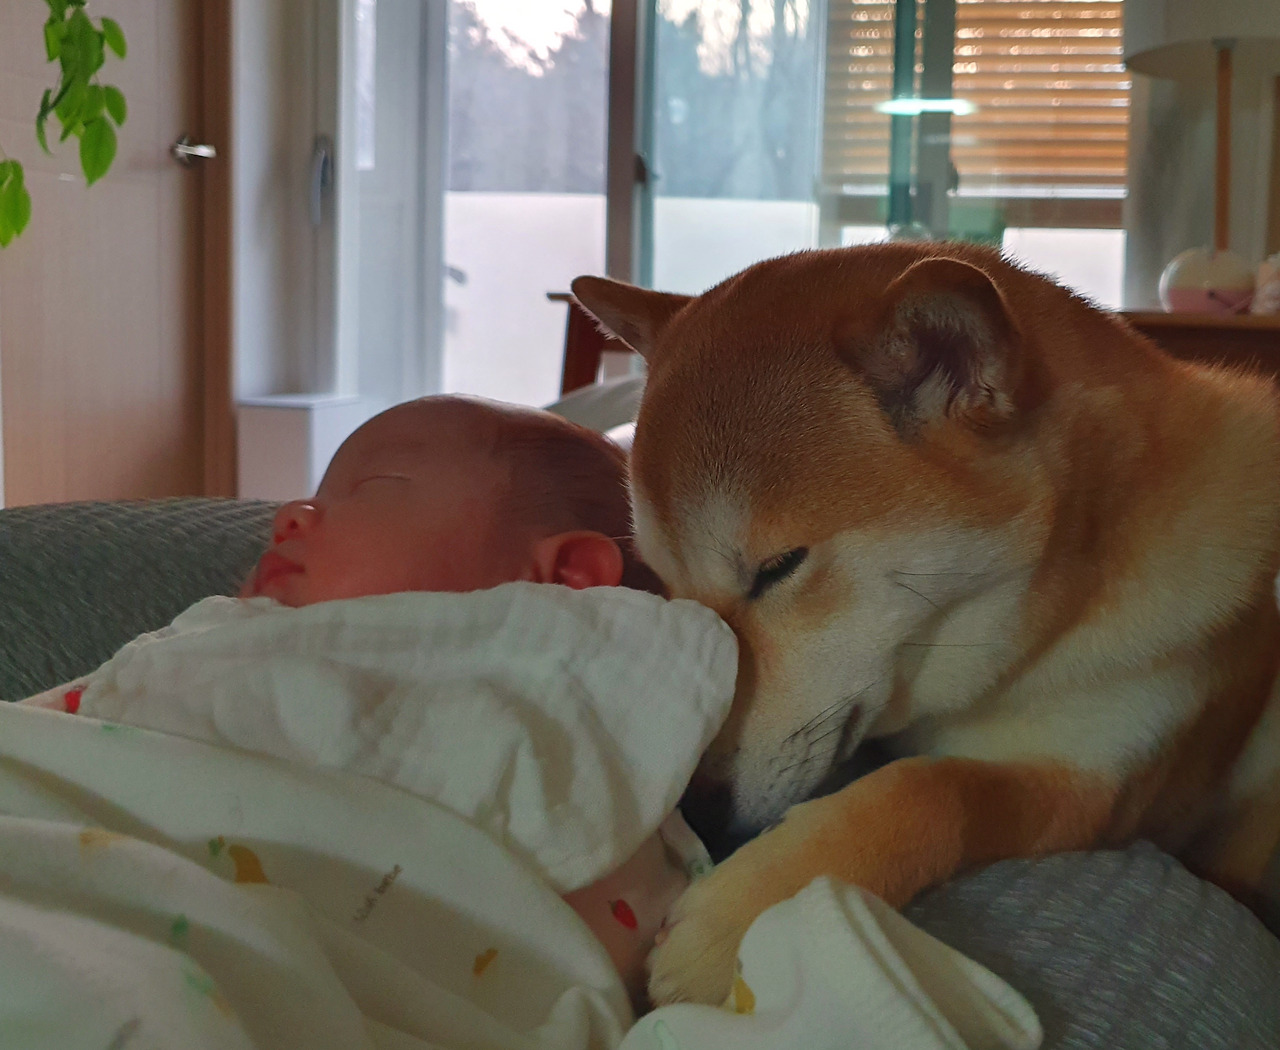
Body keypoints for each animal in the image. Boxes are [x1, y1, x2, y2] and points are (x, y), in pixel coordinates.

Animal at [571, 242, 1280, 1007]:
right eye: (662, 584)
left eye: (777, 567)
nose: (699, 813)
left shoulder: (1097, 784)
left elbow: (935, 792)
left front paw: (738, 917)